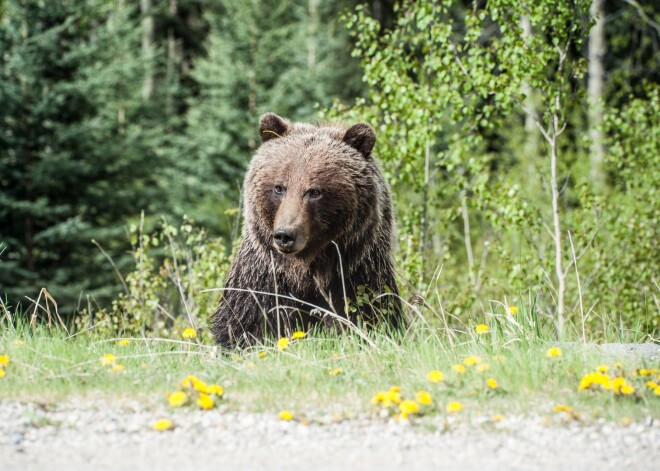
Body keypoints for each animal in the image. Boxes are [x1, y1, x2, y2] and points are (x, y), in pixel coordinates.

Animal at [211, 114, 402, 348]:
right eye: (279, 188)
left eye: (314, 191)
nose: (285, 235)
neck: (306, 271)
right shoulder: (263, 279)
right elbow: (245, 324)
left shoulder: (357, 275)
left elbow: (370, 316)